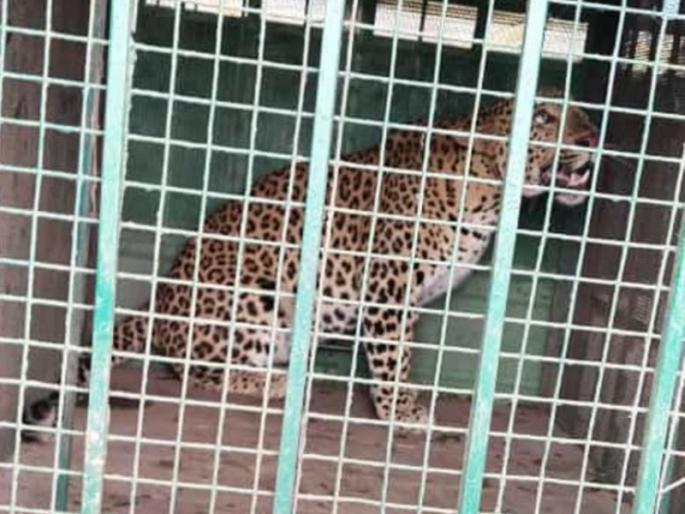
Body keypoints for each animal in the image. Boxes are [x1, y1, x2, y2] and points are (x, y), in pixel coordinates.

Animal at [23, 92, 598, 438]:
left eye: (584, 113)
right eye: (543, 117)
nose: (592, 139)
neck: (488, 194)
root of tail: (160, 299)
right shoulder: (388, 290)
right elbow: (393, 362)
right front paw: (404, 415)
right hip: (256, 292)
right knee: (194, 370)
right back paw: (277, 383)